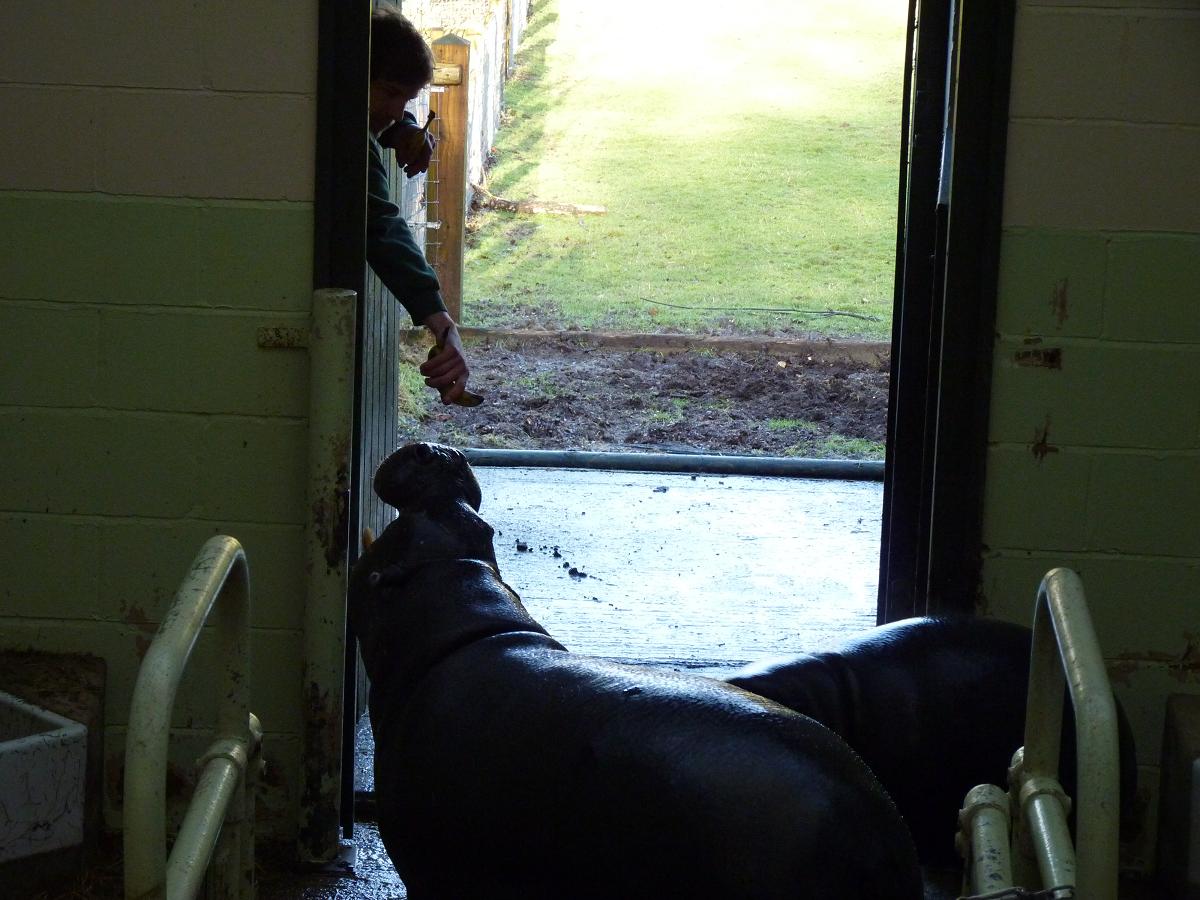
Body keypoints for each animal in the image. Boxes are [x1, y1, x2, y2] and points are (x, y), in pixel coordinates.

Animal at [350, 442, 923, 900]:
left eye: (397, 535)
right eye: (483, 526)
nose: (439, 454)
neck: (457, 591)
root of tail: (880, 831)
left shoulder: (425, 870)